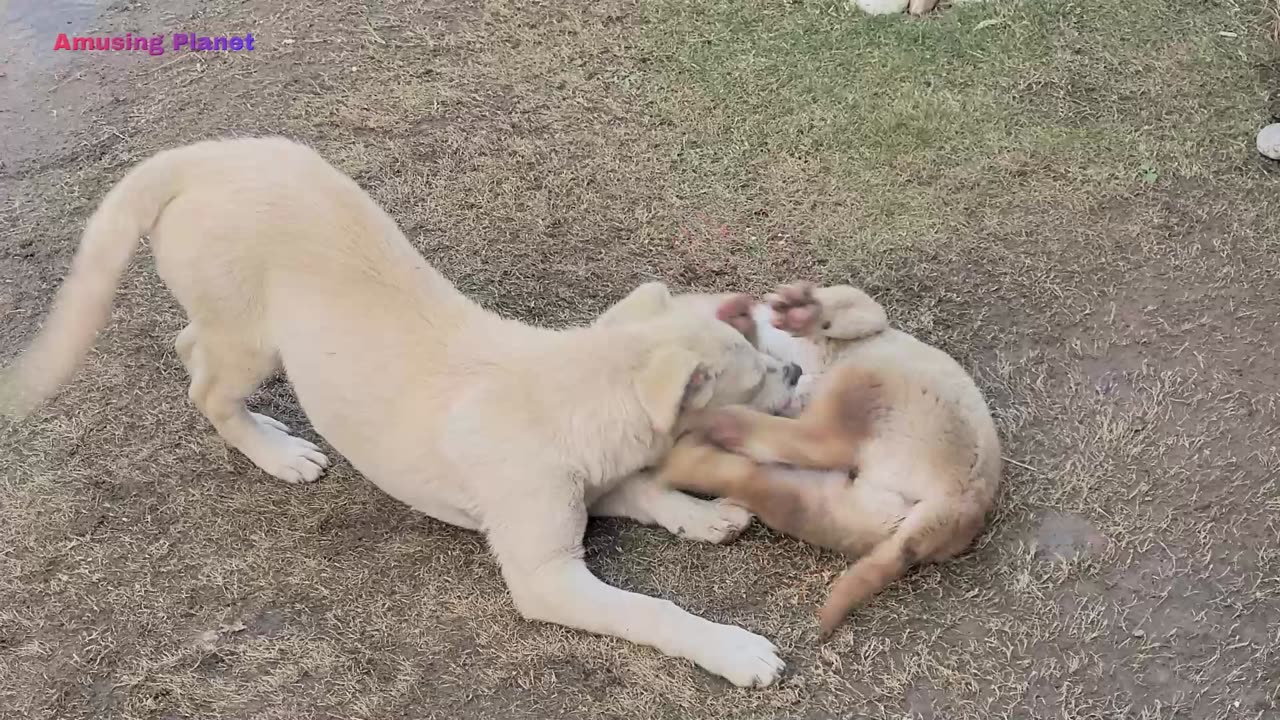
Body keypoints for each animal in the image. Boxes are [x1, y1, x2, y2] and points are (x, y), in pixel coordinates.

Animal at [0, 135, 798, 681]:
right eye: (757, 376)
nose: (795, 368)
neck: (564, 384)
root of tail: (198, 157)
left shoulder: (593, 482)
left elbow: (650, 491)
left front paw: (705, 515)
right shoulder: (546, 574)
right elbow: (651, 608)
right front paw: (734, 648)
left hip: (234, 322)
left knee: (187, 343)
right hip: (251, 338)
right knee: (208, 388)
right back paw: (277, 452)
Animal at [660, 280, 998, 632]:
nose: (796, 376)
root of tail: (959, 506)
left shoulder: (862, 317)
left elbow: (847, 304)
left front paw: (795, 311)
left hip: (862, 386)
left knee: (815, 443)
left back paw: (722, 425)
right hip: (850, 504)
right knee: (790, 465)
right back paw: (708, 441)